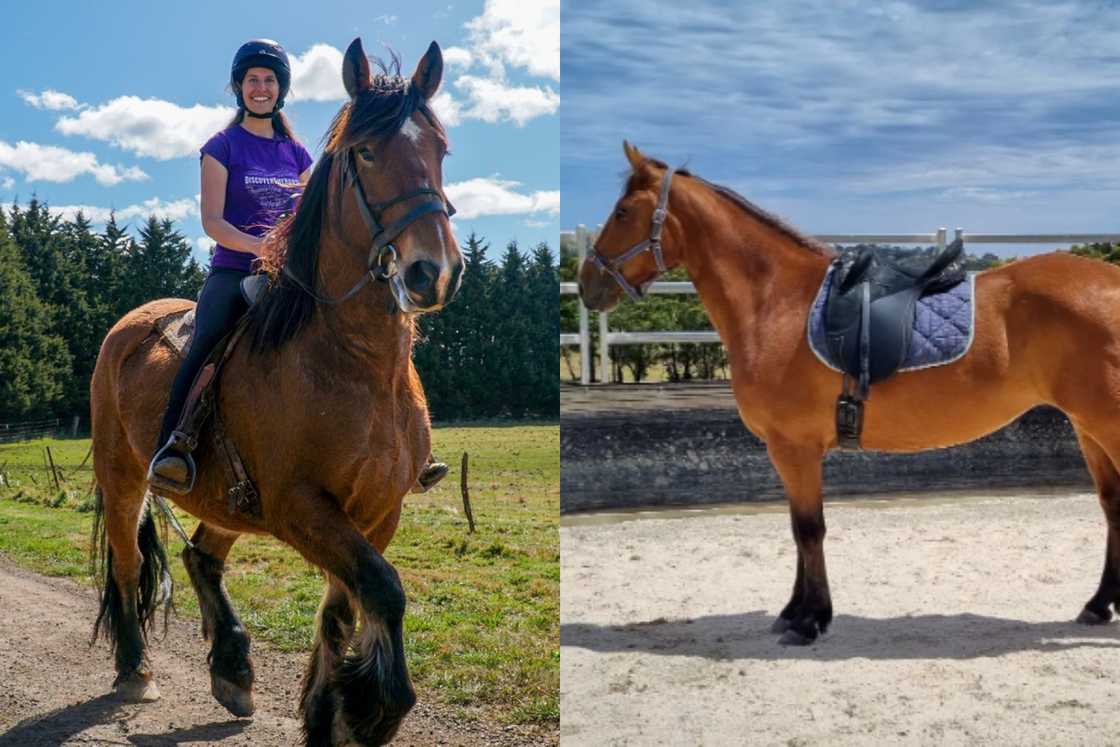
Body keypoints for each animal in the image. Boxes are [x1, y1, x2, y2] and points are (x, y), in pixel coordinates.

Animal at [89, 38, 463, 745]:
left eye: (440, 148)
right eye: (364, 152)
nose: (433, 271)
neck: (354, 362)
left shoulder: (378, 510)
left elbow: (347, 606)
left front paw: (326, 713)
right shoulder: (300, 506)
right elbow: (385, 590)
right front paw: (371, 710)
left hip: (226, 499)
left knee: (203, 559)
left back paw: (232, 671)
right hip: (123, 477)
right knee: (126, 566)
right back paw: (134, 672)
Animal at [579, 140, 1120, 647]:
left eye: (622, 212)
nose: (586, 284)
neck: (777, 302)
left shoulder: (793, 447)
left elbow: (808, 528)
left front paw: (809, 620)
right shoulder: (791, 451)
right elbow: (798, 529)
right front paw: (794, 613)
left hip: (1104, 425)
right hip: (1086, 427)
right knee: (1112, 504)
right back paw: (1098, 605)